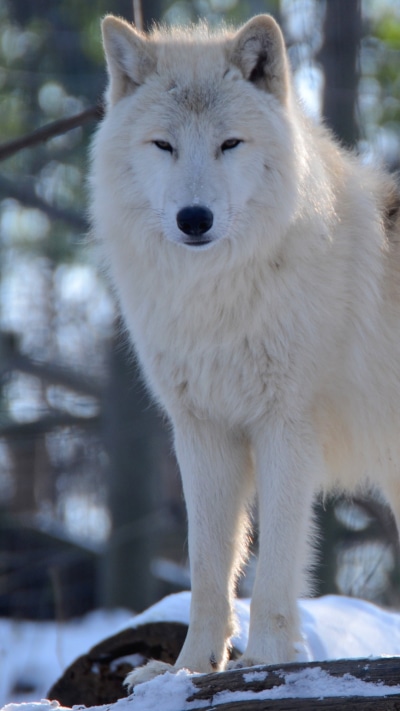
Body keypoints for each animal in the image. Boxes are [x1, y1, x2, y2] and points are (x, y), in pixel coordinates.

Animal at [89, 12, 400, 685]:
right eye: (164, 145)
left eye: (230, 144)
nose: (194, 218)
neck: (220, 298)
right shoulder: (202, 432)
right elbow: (209, 569)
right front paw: (186, 669)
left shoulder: (286, 427)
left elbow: (276, 565)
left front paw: (265, 659)